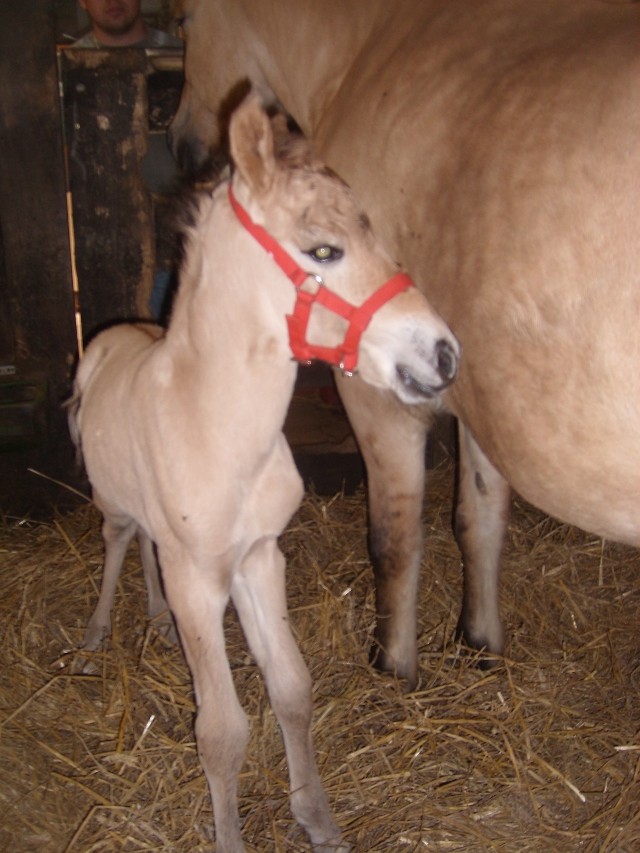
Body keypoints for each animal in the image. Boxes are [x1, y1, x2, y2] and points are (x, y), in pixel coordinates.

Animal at [69, 96, 460, 848]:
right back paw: (97, 633)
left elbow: (293, 689)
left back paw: (153, 619)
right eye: (323, 250)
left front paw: (319, 821)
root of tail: (110, 337)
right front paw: (230, 836)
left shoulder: (259, 557)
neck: (221, 433)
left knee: (146, 550)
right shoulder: (200, 581)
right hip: (111, 502)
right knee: (117, 542)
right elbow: (221, 731)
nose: (444, 354)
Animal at [170, 0, 640, 684]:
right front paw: (479, 639)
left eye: (184, 23)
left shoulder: (381, 394)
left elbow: (394, 538)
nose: (177, 143)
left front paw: (393, 662)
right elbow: (480, 517)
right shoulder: (479, 394)